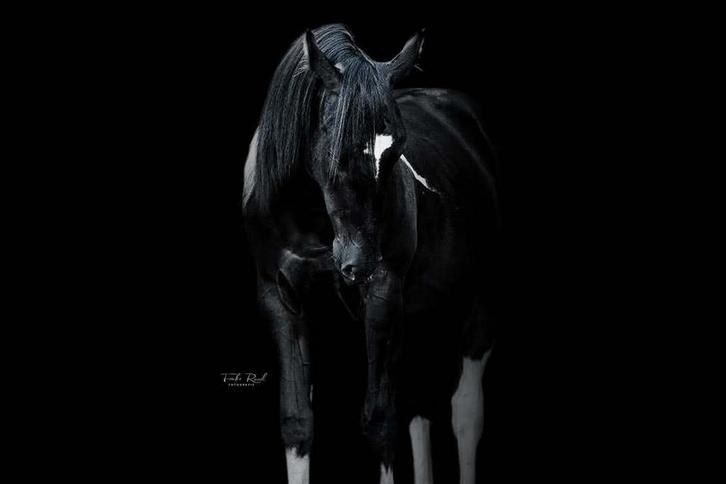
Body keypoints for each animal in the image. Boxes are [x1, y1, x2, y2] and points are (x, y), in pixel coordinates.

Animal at [243, 24, 500, 484]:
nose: (359, 263)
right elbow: (297, 422)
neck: (312, 220)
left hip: (479, 300)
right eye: (334, 148)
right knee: (420, 408)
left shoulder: (381, 297)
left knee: (466, 414)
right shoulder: (279, 298)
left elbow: (379, 421)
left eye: (397, 148)